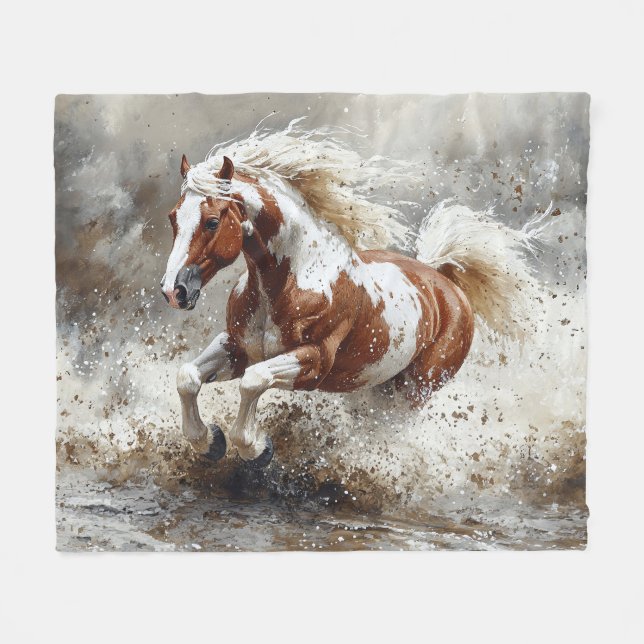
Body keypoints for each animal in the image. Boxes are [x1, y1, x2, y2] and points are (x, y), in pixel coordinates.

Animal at [160, 124, 540, 468]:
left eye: (211, 221)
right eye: (173, 217)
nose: (173, 291)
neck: (293, 279)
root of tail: (446, 284)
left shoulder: (313, 362)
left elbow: (254, 381)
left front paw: (256, 449)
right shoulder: (238, 348)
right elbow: (187, 377)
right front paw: (209, 442)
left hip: (413, 392)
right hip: (376, 387)